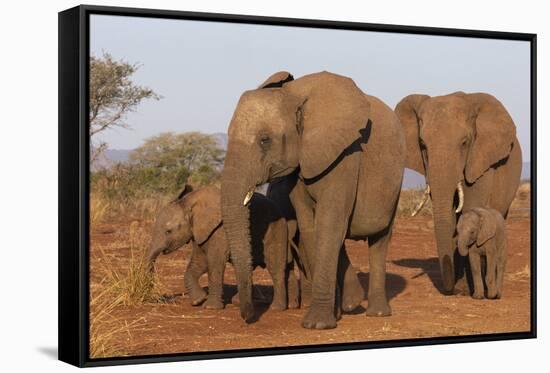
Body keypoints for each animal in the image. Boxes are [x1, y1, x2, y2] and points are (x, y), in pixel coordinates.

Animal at [144, 185, 296, 310]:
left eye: (168, 231)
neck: (190, 202)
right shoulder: (200, 231)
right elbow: (199, 262)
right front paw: (198, 300)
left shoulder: (220, 230)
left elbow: (214, 262)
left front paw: (210, 307)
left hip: (275, 231)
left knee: (275, 267)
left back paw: (276, 308)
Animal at [222, 71, 408, 326]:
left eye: (265, 140)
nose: (248, 316)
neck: (295, 95)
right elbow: (311, 227)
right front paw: (341, 310)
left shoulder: (347, 155)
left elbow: (329, 223)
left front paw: (317, 324)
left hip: (394, 183)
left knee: (380, 239)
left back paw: (377, 313)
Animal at [396, 92, 520, 294]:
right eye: (422, 145)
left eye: (464, 143)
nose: (449, 289)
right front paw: (461, 289)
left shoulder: (480, 162)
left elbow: (469, 210)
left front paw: (466, 289)